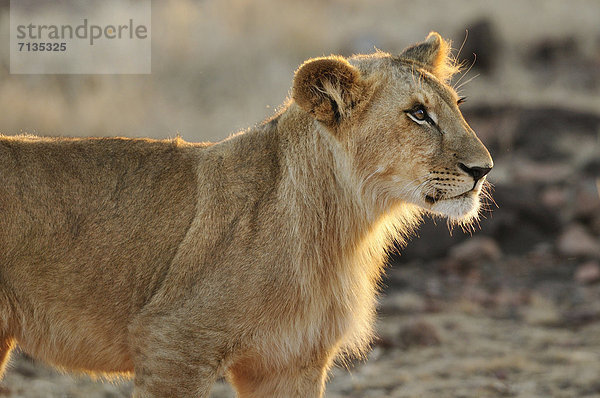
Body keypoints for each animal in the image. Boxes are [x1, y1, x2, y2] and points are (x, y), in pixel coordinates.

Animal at [0, 32, 492, 396]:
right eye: (418, 114)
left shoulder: (290, 363)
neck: (343, 225)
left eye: (458, 107)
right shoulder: (172, 345)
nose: (484, 169)